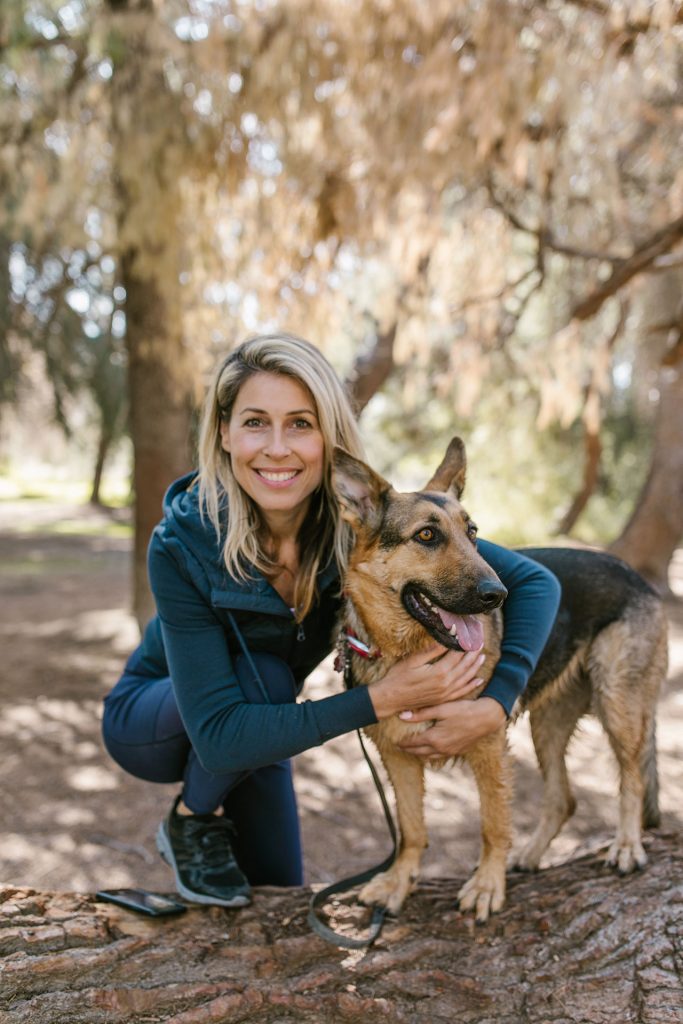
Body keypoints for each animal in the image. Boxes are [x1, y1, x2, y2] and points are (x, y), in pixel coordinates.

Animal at [333, 436, 671, 925]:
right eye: (427, 535)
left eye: (473, 532)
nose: (498, 595)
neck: (409, 652)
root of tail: (637, 576)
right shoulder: (398, 756)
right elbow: (411, 829)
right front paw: (399, 882)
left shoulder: (488, 745)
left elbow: (493, 824)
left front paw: (487, 886)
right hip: (548, 725)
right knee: (564, 798)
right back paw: (529, 855)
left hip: (619, 705)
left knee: (631, 778)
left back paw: (626, 845)